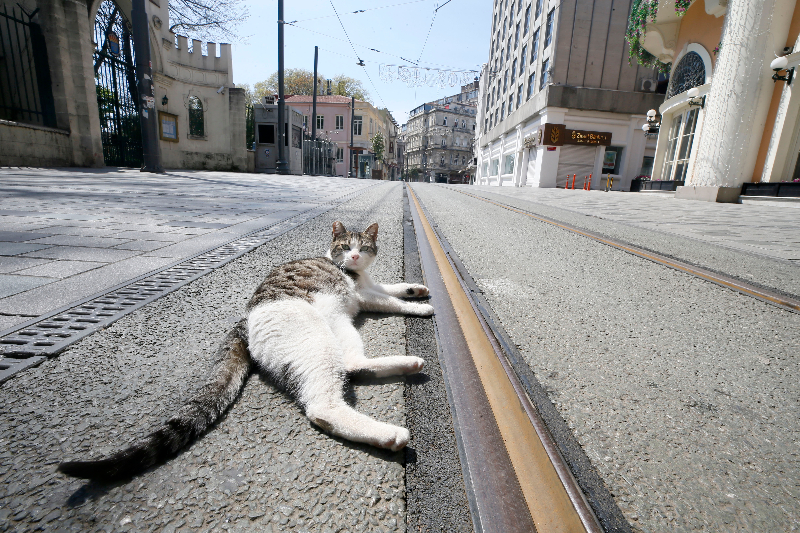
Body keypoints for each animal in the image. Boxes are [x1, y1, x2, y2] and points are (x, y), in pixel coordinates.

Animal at [57, 221, 434, 482]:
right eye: (345, 246)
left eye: (363, 247)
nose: (353, 257)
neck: (354, 273)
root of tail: (245, 321)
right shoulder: (364, 295)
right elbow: (390, 300)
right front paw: (421, 307)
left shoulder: (370, 287)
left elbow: (392, 286)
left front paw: (416, 288)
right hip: (318, 338)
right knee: (322, 407)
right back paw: (390, 433)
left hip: (341, 327)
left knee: (354, 364)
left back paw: (407, 364)